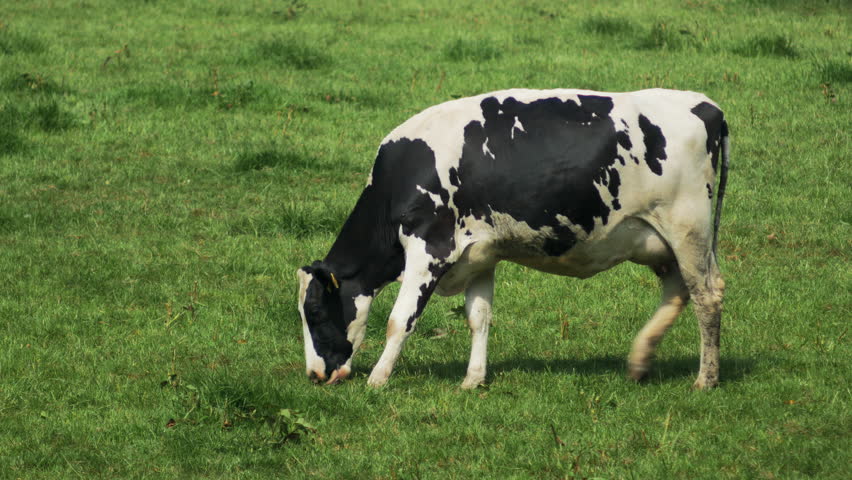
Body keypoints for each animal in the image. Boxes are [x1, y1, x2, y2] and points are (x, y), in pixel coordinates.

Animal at [297, 88, 729, 390]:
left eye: (314, 312)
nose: (315, 375)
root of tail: (705, 105)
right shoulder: (479, 255)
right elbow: (478, 317)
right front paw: (473, 379)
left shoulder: (429, 248)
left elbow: (399, 320)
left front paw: (378, 379)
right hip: (661, 241)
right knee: (679, 290)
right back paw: (640, 359)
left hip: (688, 229)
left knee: (707, 295)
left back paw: (705, 379)